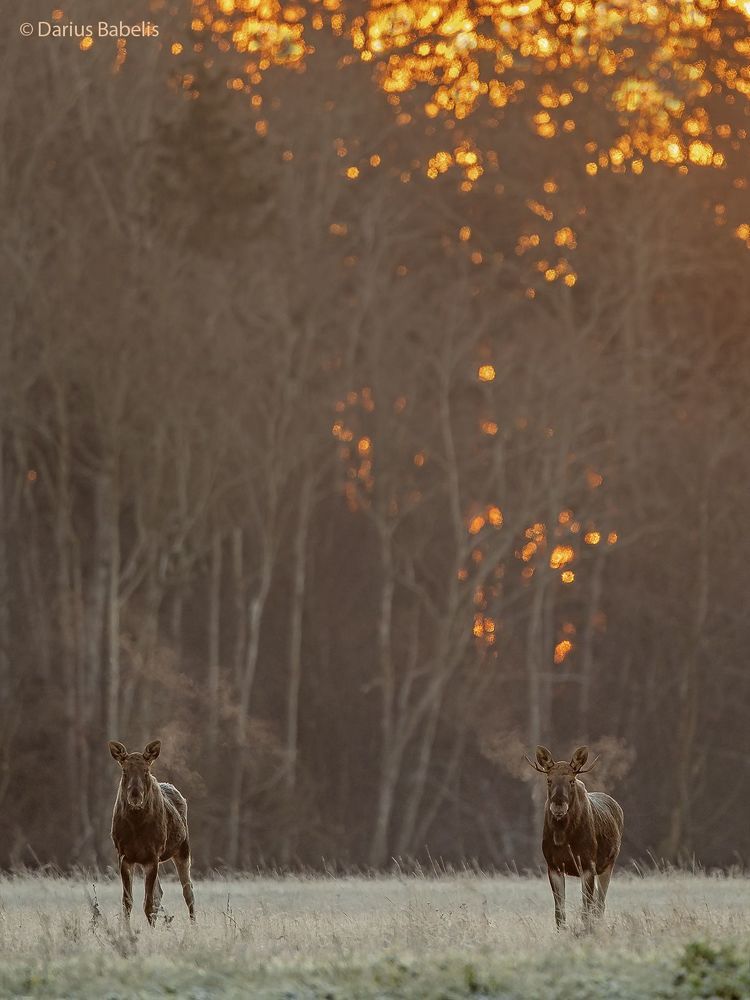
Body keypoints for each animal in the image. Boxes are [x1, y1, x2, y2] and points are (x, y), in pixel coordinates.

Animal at [108, 740, 195, 927]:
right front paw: (126, 930)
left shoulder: (153, 855)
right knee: (160, 893)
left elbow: (148, 904)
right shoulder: (124, 855)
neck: (136, 827)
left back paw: (194, 925)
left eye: (146, 771)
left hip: (183, 849)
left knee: (188, 890)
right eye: (124, 771)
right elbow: (128, 901)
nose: (135, 796)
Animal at [526, 745, 623, 929]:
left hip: (608, 864)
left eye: (571, 781)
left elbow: (586, 910)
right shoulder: (553, 866)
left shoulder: (588, 865)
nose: (558, 806)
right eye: (549, 780)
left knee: (600, 904)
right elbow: (559, 913)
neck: (563, 837)